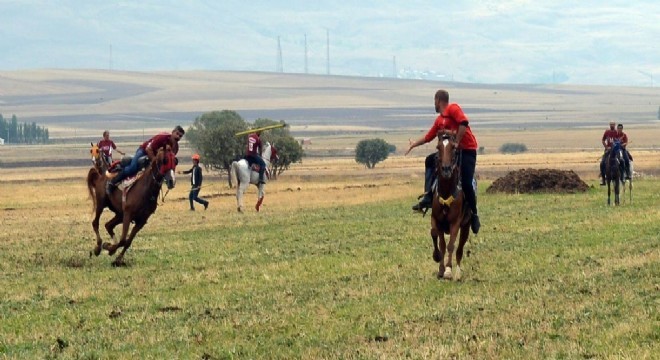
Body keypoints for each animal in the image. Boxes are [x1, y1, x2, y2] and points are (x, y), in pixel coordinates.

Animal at [430, 133, 472, 282]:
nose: (446, 169)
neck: (446, 192)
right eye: (438, 147)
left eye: (454, 148)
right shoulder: (436, 220)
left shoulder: (455, 223)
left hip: (466, 227)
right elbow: (437, 238)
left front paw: (448, 270)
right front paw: (439, 264)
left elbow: (450, 245)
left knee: (459, 249)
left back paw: (458, 274)